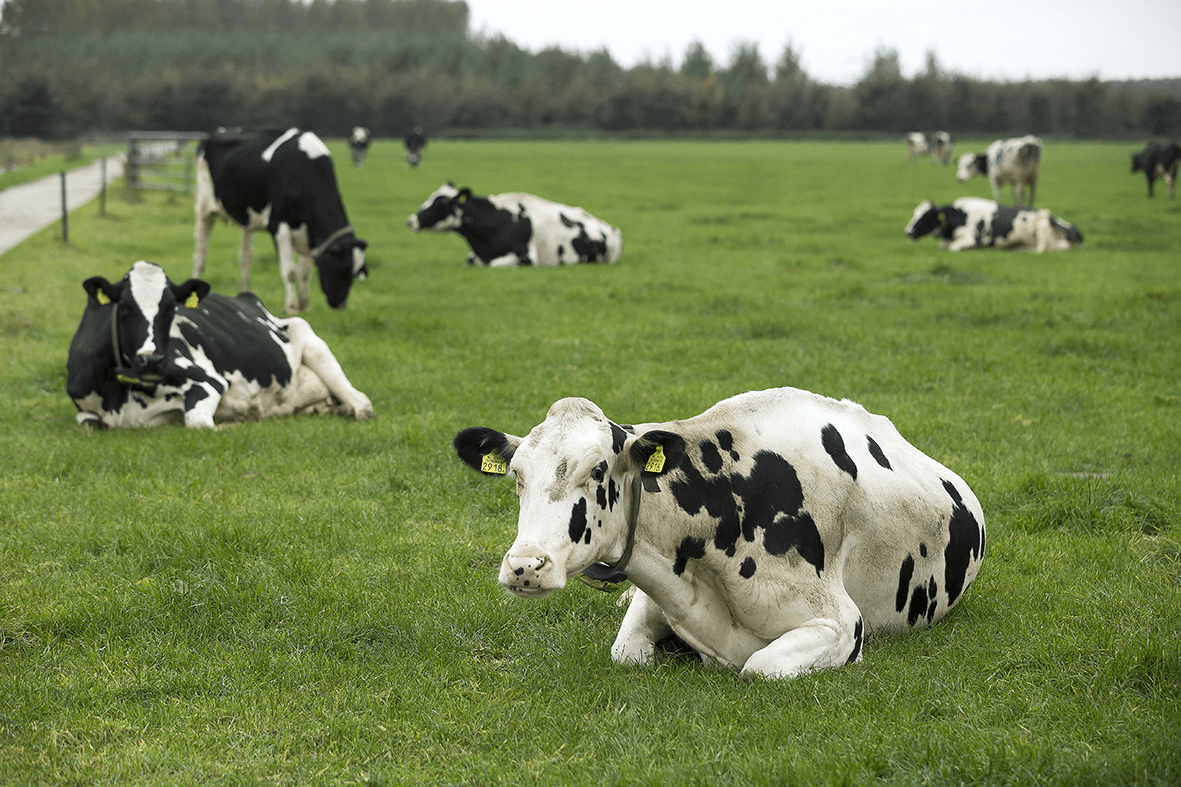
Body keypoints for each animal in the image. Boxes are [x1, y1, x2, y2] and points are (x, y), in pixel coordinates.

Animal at [67, 261, 374, 429]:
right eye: (124, 308)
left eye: (171, 308)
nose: (152, 359)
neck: (121, 396)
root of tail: (249, 298)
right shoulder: (86, 411)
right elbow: (88, 423)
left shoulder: (207, 380)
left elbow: (199, 423)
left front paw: (235, 423)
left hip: (309, 336)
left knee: (360, 400)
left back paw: (356, 408)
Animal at [193, 127, 369, 314]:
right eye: (339, 269)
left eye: (354, 273)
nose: (339, 305)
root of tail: (215, 133)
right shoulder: (279, 226)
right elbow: (290, 271)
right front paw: (292, 307)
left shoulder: (308, 233)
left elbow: (305, 272)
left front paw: (305, 306)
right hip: (203, 209)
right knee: (199, 255)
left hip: (247, 220)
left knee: (246, 260)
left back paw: (244, 295)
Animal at [453, 387, 986, 680]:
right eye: (517, 475)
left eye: (598, 469)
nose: (525, 565)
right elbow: (627, 653)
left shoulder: (840, 622)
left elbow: (757, 668)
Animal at [905, 197, 1082, 252]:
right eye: (914, 213)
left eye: (926, 216)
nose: (907, 232)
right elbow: (943, 246)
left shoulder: (972, 238)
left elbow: (953, 248)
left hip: (1043, 224)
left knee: (1044, 249)